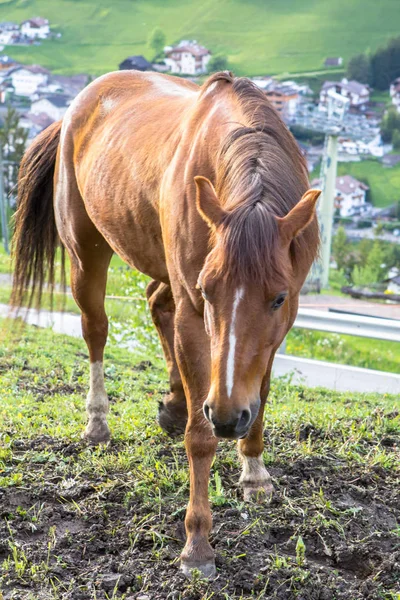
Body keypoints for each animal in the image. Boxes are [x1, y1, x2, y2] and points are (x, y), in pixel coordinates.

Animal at [10, 69, 320, 576]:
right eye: (209, 293)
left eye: (278, 298)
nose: (229, 417)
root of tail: (78, 104)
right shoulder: (195, 310)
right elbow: (201, 436)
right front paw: (197, 543)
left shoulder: (275, 330)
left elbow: (262, 391)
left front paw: (254, 470)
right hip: (86, 253)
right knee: (96, 328)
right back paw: (99, 421)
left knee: (157, 303)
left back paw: (174, 404)